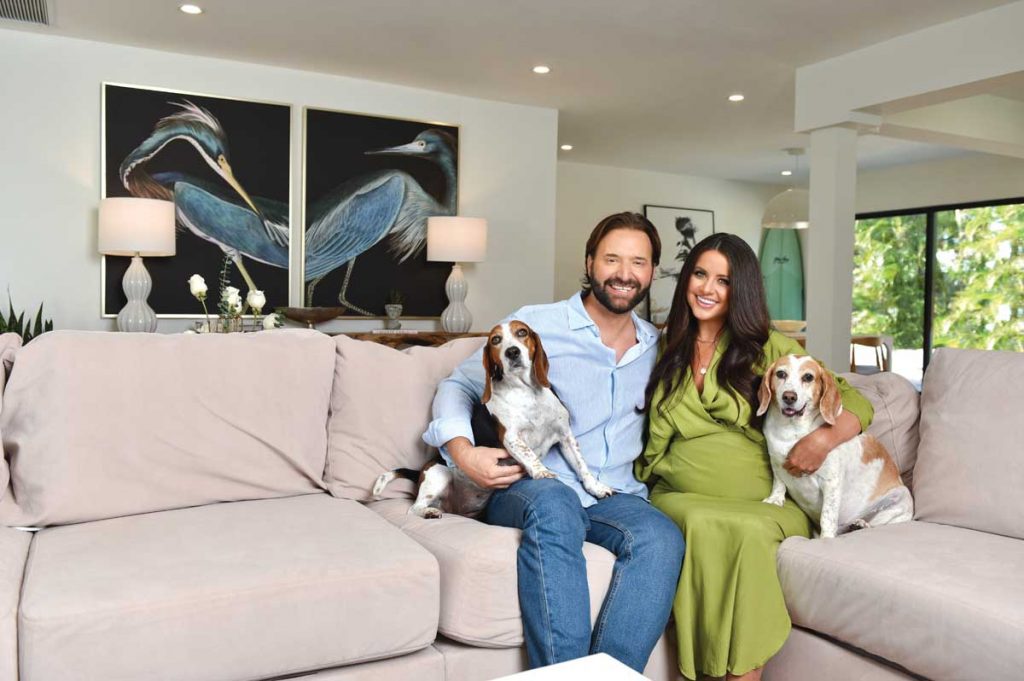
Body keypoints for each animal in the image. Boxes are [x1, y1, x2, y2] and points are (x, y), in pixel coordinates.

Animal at [378, 321, 610, 518]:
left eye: (522, 332)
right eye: (495, 340)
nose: (512, 351)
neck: (527, 392)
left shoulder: (565, 435)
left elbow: (581, 465)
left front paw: (596, 488)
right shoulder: (512, 437)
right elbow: (530, 455)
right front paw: (542, 472)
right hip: (439, 473)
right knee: (414, 508)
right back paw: (428, 512)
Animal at [757, 352, 917, 540]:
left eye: (808, 377)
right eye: (781, 374)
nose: (789, 396)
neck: (792, 430)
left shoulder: (831, 482)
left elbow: (827, 516)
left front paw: (826, 538)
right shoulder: (776, 463)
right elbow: (779, 483)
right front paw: (775, 499)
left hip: (900, 499)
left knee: (876, 524)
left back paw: (861, 524)